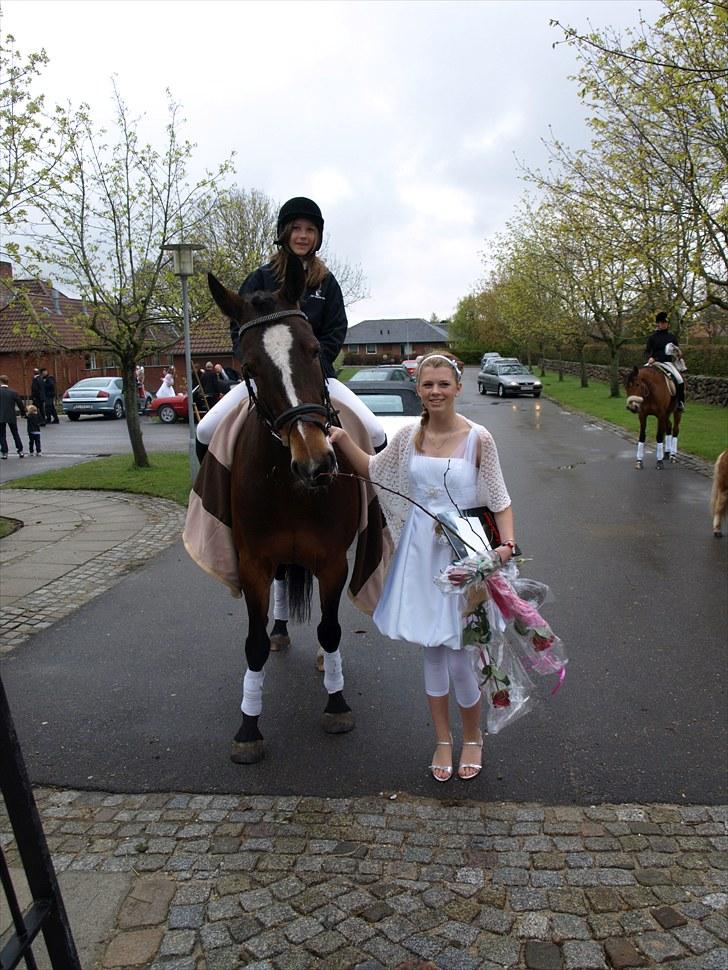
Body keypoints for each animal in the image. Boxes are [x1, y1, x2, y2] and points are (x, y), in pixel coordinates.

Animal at [206, 258, 360, 764]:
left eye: (313, 350)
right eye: (249, 366)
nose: (316, 462)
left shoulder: (332, 560)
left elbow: (331, 629)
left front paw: (336, 703)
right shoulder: (253, 561)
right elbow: (252, 644)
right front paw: (248, 727)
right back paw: (279, 630)